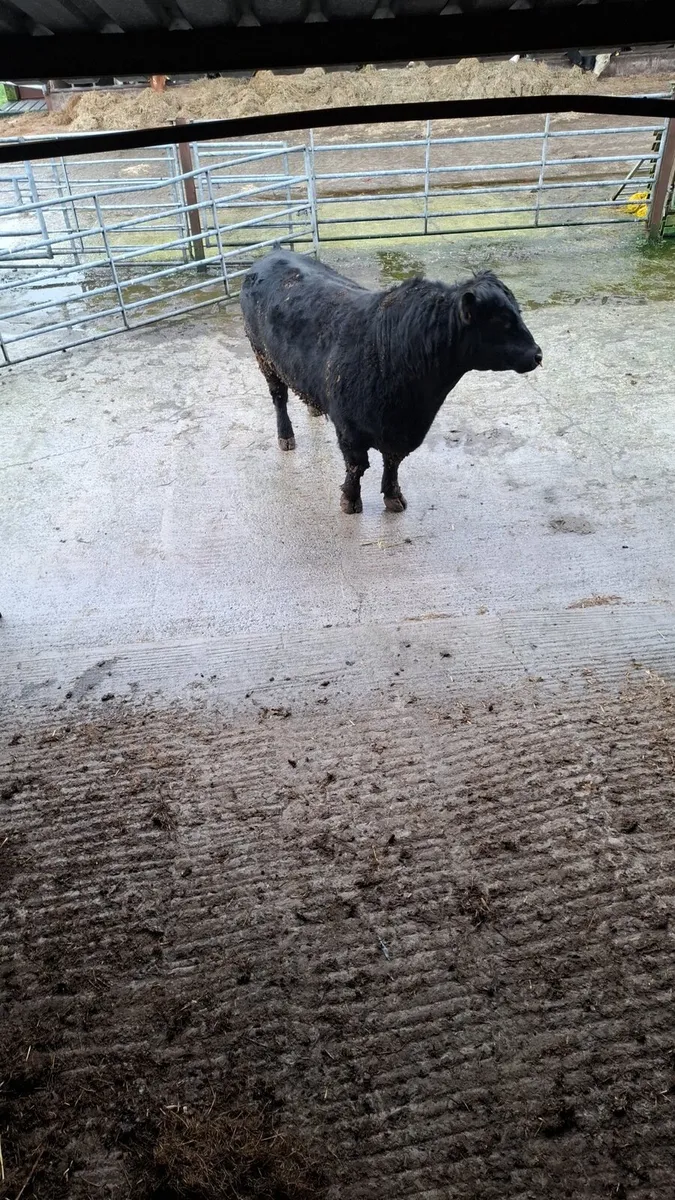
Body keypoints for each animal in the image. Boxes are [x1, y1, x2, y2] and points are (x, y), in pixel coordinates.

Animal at [240, 250, 542, 514]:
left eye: (518, 312)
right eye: (502, 322)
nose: (538, 354)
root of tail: (272, 255)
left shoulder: (401, 431)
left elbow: (393, 463)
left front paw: (394, 496)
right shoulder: (350, 429)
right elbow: (357, 467)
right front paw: (350, 501)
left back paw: (314, 408)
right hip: (264, 357)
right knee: (279, 397)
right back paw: (286, 436)